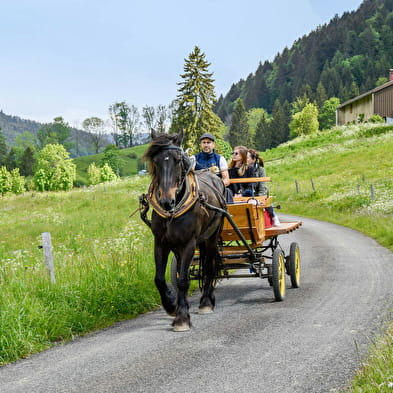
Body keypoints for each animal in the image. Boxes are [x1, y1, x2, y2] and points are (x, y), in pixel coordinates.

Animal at [142, 129, 225, 330]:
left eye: (178, 159)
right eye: (155, 160)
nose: (166, 201)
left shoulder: (189, 243)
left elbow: (182, 280)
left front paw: (181, 318)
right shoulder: (161, 243)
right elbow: (160, 279)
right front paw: (172, 305)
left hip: (211, 238)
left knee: (210, 267)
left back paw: (206, 302)